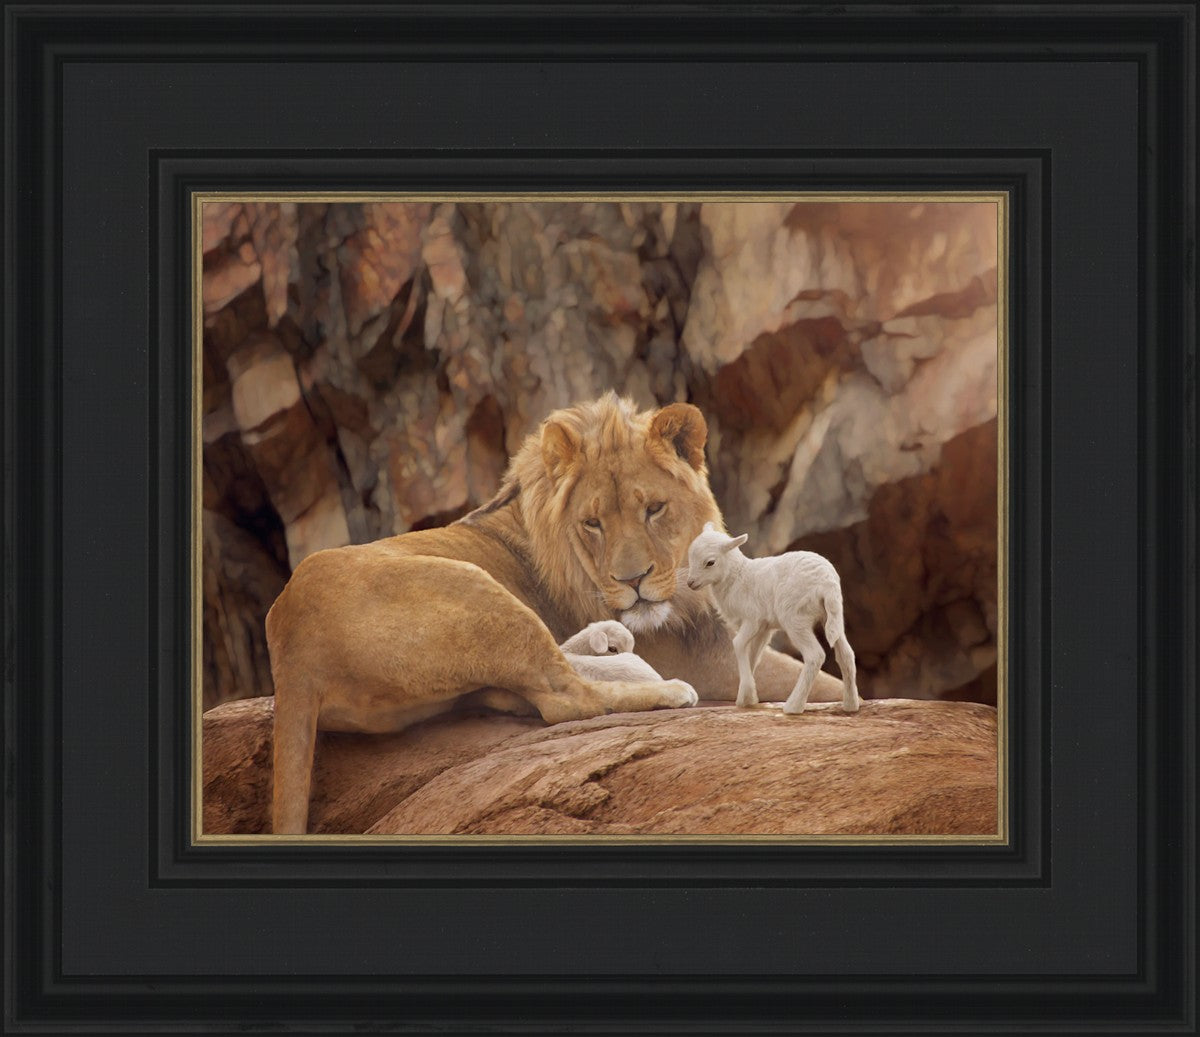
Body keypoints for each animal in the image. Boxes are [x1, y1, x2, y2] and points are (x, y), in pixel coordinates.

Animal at [685, 523, 859, 715]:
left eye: (710, 562)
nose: (690, 583)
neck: (737, 577)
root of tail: (827, 583)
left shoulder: (752, 619)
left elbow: (738, 644)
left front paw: (746, 695)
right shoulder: (764, 628)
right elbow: (753, 655)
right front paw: (747, 697)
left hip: (795, 618)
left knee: (815, 655)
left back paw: (793, 706)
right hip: (833, 616)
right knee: (846, 654)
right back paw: (850, 705)